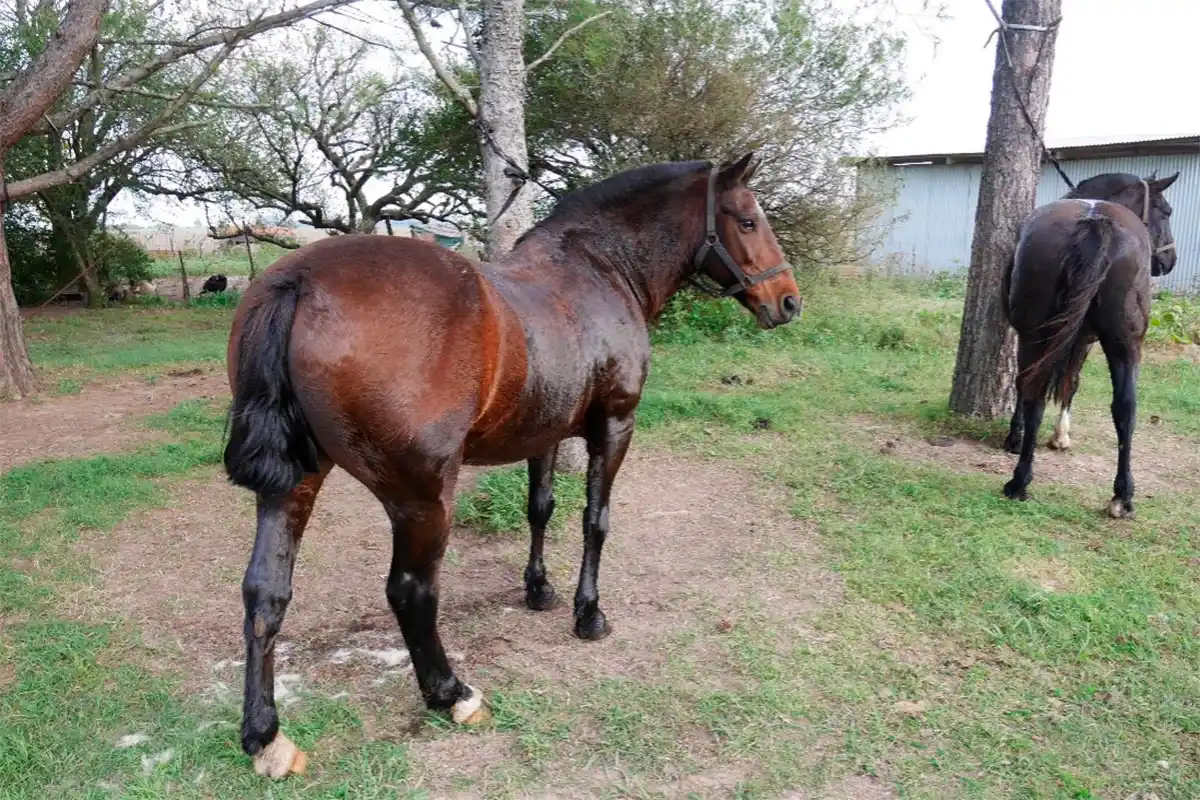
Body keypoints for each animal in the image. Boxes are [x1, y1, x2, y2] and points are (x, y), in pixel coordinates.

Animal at [222, 153, 802, 778]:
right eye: (747, 220)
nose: (788, 301)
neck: (599, 268)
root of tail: (300, 280)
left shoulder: (545, 432)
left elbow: (540, 508)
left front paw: (538, 589)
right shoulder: (615, 426)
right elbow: (595, 521)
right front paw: (588, 614)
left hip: (295, 482)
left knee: (266, 592)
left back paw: (265, 736)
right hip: (422, 495)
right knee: (410, 591)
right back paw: (452, 694)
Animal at [1001, 171, 1179, 518]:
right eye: (1165, 211)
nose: (1169, 260)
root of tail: (1097, 222)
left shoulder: (1074, 338)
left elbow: (1063, 383)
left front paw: (1047, 436)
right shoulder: (1084, 338)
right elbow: (1069, 382)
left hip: (1041, 336)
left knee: (1036, 393)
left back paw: (1020, 480)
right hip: (1124, 342)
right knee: (1125, 407)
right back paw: (1122, 497)